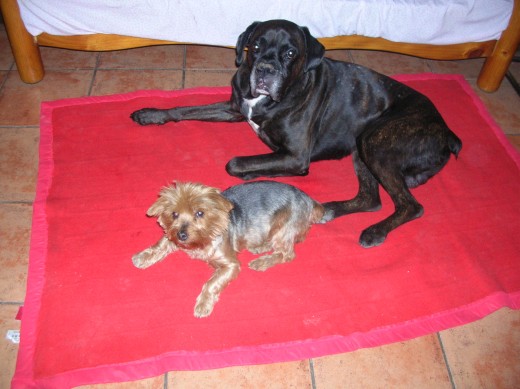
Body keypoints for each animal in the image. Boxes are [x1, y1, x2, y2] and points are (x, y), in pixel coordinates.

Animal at [132, 19, 462, 247]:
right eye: (255, 47)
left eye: (290, 52)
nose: (265, 70)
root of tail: (445, 130)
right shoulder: (233, 108)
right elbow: (186, 109)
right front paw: (151, 114)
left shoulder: (295, 156)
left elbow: (236, 162)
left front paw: (255, 174)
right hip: (361, 147)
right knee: (371, 198)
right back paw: (330, 209)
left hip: (375, 142)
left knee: (411, 205)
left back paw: (374, 231)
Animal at [133, 180, 324, 316]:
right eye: (174, 214)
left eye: (200, 213)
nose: (182, 235)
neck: (203, 239)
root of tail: (310, 201)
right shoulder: (173, 237)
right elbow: (162, 242)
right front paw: (143, 257)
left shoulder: (230, 264)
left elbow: (211, 283)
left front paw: (203, 304)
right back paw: (260, 247)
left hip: (285, 225)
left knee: (287, 253)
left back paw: (261, 261)